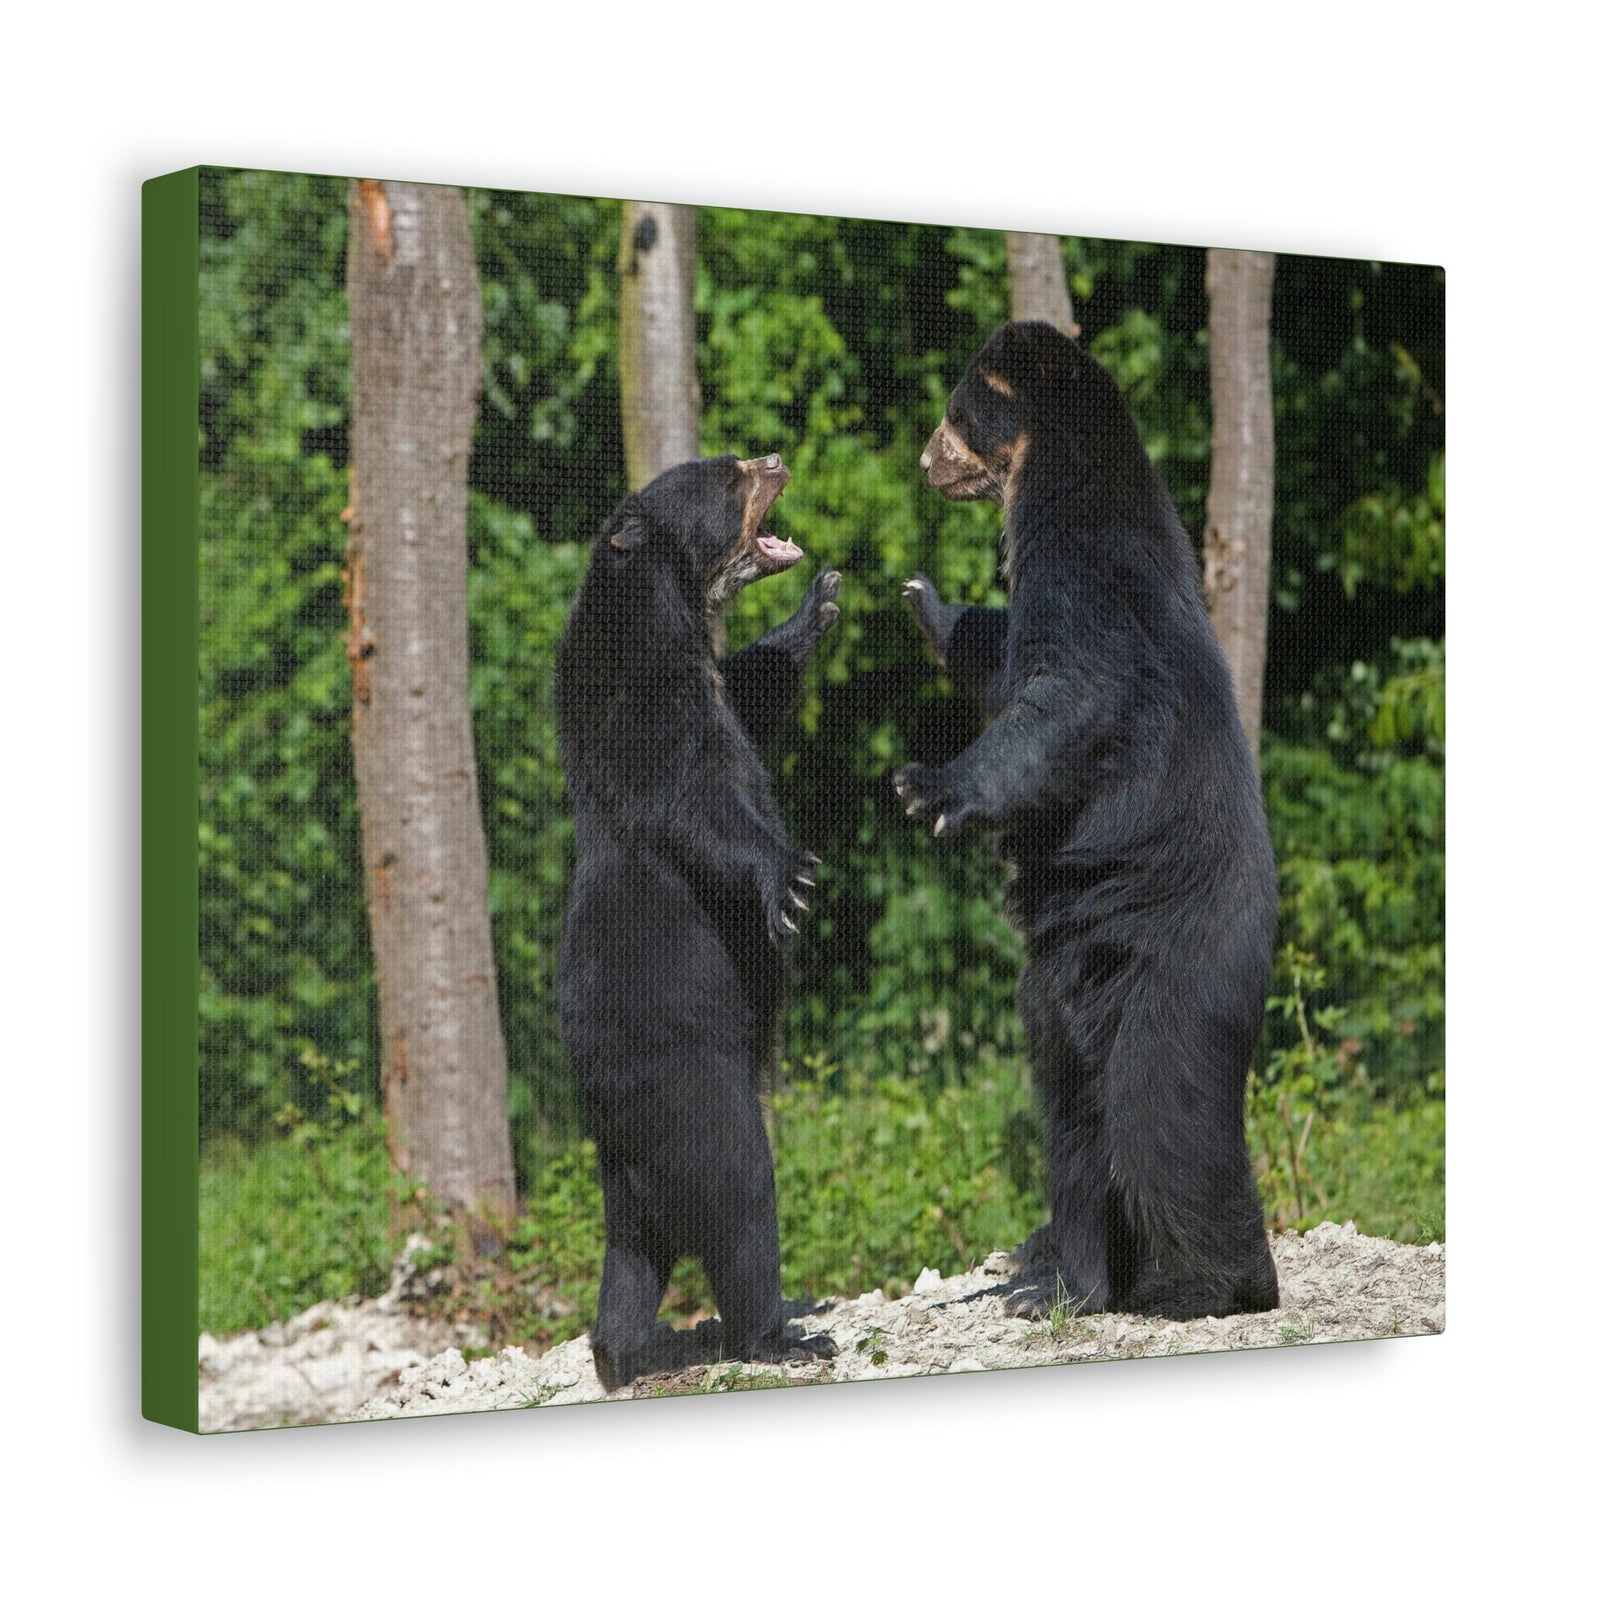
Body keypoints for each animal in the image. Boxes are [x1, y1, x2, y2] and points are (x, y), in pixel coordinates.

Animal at [555, 452, 841, 1389]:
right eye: (725, 477)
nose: (775, 457)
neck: (673, 612)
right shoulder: (641, 697)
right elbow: (697, 795)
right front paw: (791, 878)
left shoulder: (709, 681)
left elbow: (755, 689)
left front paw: (818, 605)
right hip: (690, 1084)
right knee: (742, 1195)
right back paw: (779, 1334)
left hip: (625, 1174)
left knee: (630, 1258)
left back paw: (617, 1353)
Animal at [896, 320, 1280, 1320]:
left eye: (955, 411)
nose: (925, 462)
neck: (1052, 477)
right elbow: (1001, 661)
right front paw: (927, 601)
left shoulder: (1090, 575)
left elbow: (1067, 695)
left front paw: (927, 786)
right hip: (1061, 992)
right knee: (1073, 1120)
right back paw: (1067, 1275)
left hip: (1176, 971)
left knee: (1161, 1117)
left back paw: (1219, 1281)